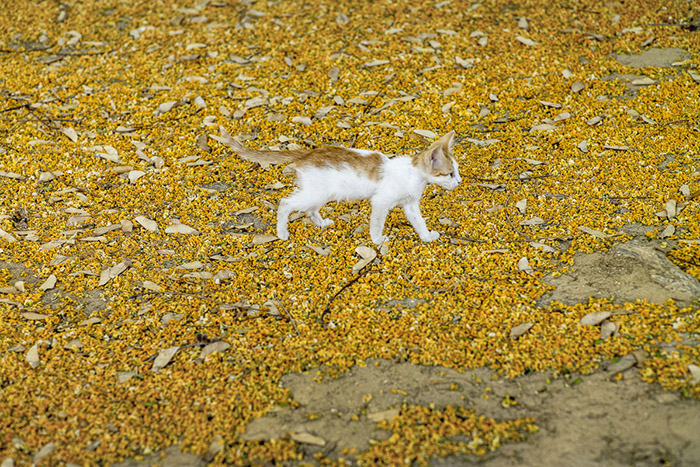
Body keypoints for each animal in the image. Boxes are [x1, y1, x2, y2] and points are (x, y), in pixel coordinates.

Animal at [216, 126, 462, 247]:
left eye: (457, 171)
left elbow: (419, 221)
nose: (459, 181)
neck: (413, 174)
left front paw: (426, 236)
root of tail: (309, 152)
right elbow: (377, 224)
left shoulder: (410, 204)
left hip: (321, 193)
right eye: (450, 173)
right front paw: (377, 240)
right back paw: (282, 232)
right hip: (315, 193)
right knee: (286, 202)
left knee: (310, 210)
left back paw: (321, 223)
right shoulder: (381, 202)